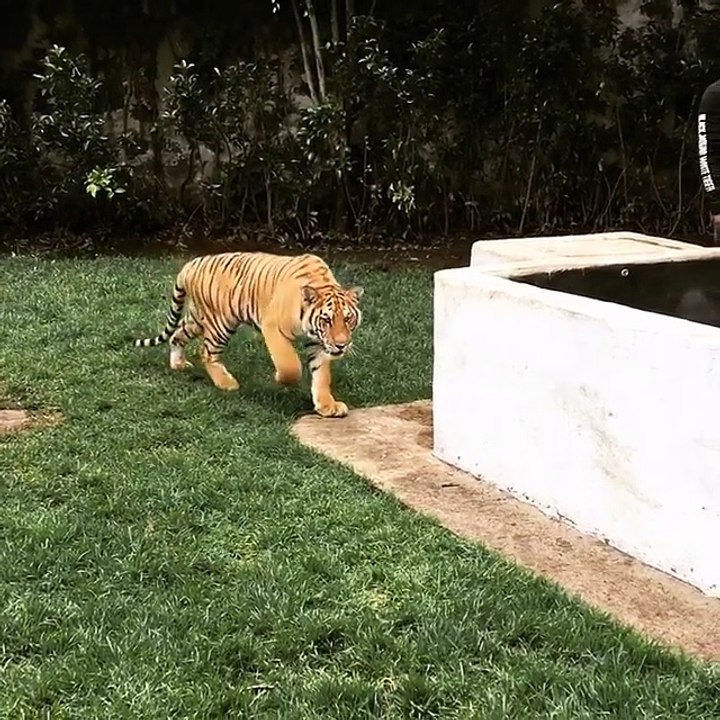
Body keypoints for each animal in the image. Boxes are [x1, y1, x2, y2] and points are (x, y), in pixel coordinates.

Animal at [133, 251, 364, 418]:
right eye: (327, 320)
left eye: (348, 319)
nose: (341, 345)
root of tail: (191, 264)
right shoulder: (272, 326)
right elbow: (289, 365)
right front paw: (280, 378)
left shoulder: (318, 343)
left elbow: (321, 375)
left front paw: (327, 406)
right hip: (221, 322)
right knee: (207, 352)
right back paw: (226, 383)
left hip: (198, 317)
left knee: (177, 334)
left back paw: (178, 364)